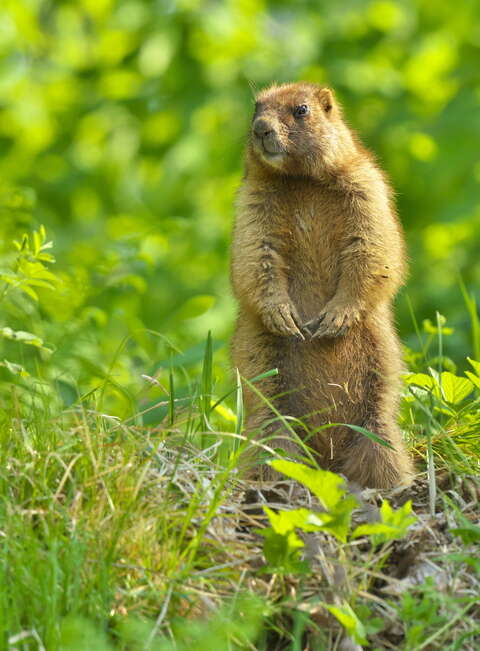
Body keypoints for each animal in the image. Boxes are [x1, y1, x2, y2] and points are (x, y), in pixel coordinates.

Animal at [230, 82, 413, 488]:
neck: (302, 181)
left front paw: (334, 319)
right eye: (255, 108)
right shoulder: (251, 200)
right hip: (273, 421)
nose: (260, 129)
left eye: (301, 109)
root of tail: (327, 459)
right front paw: (283, 317)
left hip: (379, 422)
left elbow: (372, 243)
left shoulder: (367, 185)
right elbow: (255, 251)